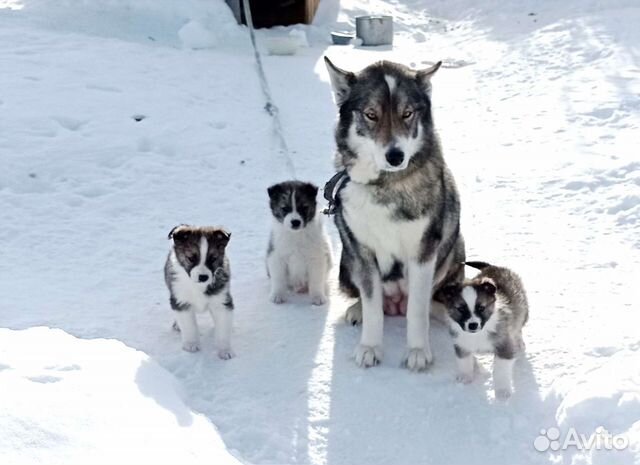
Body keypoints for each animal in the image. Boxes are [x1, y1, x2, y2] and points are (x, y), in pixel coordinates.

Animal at [165, 225, 235, 358]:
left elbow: (223, 328)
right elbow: (189, 326)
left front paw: (224, 350)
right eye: (191, 258)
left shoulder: (221, 301)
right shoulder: (182, 300)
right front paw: (191, 344)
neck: (198, 286)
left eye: (213, 258)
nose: (203, 277)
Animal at [324, 58, 464, 370]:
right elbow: (373, 306)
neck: (385, 185)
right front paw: (370, 347)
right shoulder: (362, 252)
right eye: (371, 115)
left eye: (407, 113)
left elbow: (418, 310)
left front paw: (418, 351)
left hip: (454, 250)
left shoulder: (423, 253)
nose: (395, 156)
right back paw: (357, 309)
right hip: (346, 262)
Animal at [436, 260, 528, 398]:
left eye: (481, 308)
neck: (478, 334)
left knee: (518, 328)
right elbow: (464, 361)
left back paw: (520, 344)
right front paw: (465, 377)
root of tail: (494, 266)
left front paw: (502, 391)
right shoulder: (462, 344)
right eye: (461, 309)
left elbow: (501, 371)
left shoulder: (504, 346)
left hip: (523, 312)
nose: (473, 325)